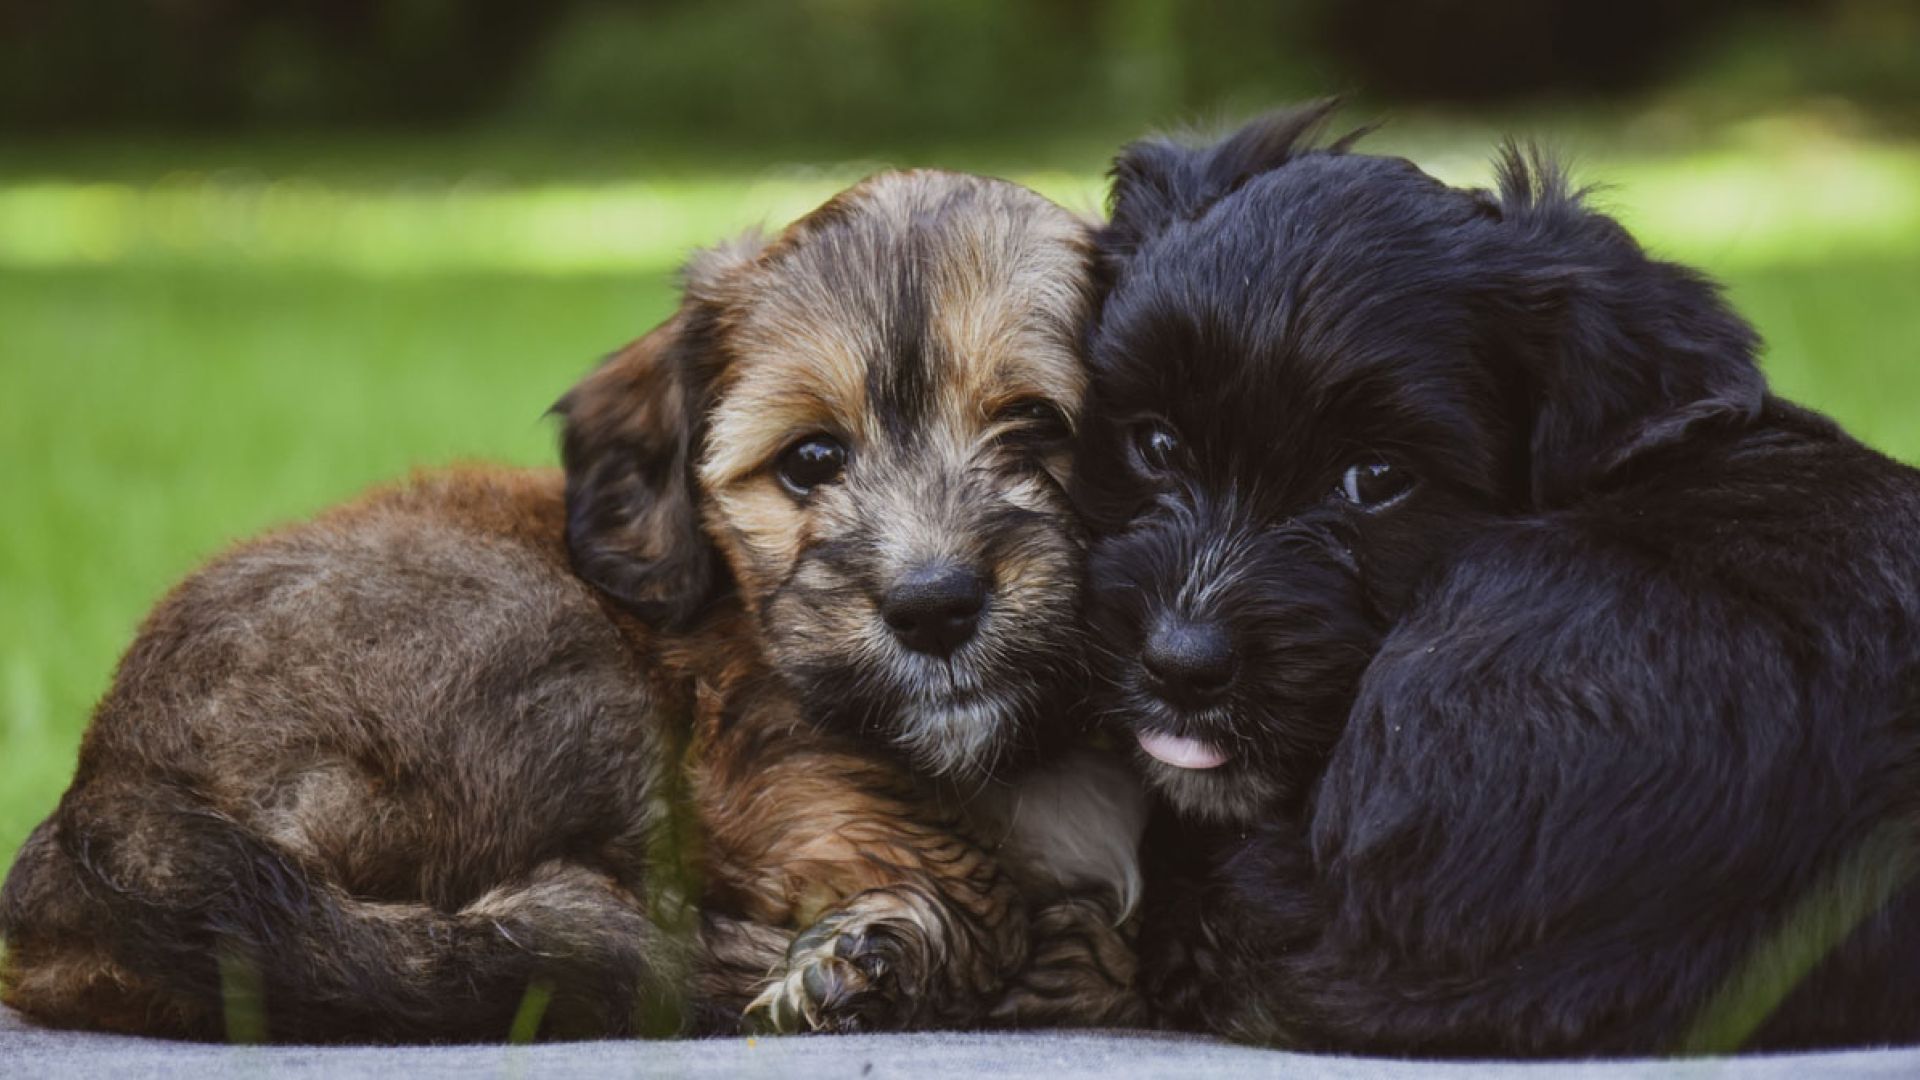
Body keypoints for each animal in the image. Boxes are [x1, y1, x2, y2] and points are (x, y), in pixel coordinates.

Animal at [0, 171, 1136, 1037]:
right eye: (811, 461)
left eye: (1038, 429)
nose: (934, 606)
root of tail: (108, 793)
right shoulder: (755, 767)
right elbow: (966, 883)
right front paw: (868, 957)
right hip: (562, 671)